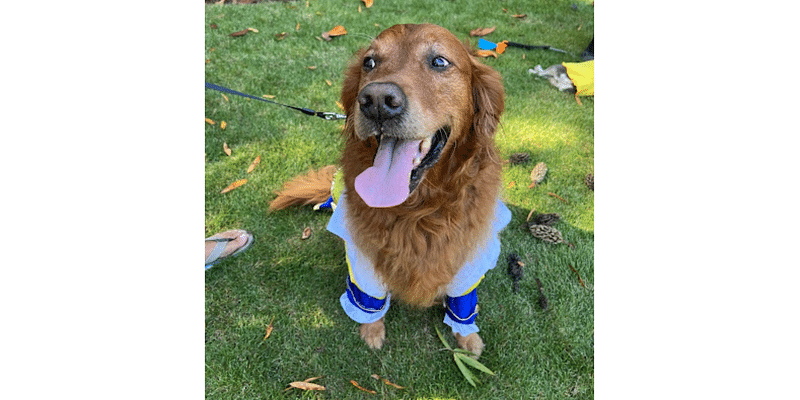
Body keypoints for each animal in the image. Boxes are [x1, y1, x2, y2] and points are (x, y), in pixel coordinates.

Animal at [268, 23, 506, 358]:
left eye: (439, 62)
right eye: (369, 62)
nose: (377, 100)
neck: (418, 211)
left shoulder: (469, 260)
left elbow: (461, 304)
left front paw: (467, 337)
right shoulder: (364, 259)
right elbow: (370, 301)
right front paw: (371, 332)